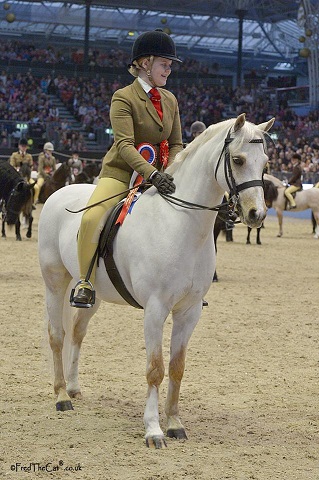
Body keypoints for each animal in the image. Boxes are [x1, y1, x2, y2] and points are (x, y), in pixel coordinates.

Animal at [38, 114, 276, 448]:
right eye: (238, 160)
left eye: (265, 163)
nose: (257, 214)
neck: (181, 224)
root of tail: (58, 193)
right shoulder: (155, 309)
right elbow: (155, 369)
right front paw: (153, 430)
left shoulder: (189, 311)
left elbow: (177, 368)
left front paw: (175, 424)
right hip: (55, 282)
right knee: (56, 335)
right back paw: (61, 396)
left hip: (90, 292)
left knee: (77, 331)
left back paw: (73, 388)